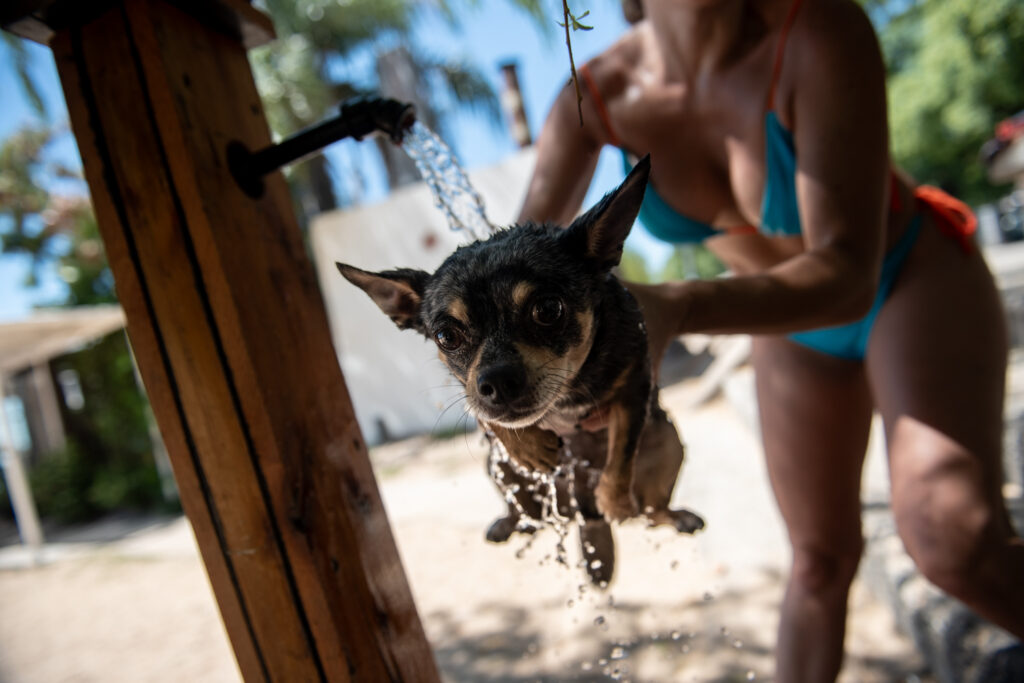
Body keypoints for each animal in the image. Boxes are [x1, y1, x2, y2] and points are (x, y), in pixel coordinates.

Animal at [335, 157, 704, 585]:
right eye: (445, 336)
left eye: (548, 310)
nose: (496, 381)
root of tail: (583, 512)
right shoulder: (469, 391)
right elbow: (488, 415)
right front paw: (527, 445)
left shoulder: (634, 386)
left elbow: (622, 453)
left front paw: (614, 499)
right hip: (497, 469)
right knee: (531, 519)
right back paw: (510, 524)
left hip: (667, 440)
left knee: (651, 510)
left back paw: (669, 515)